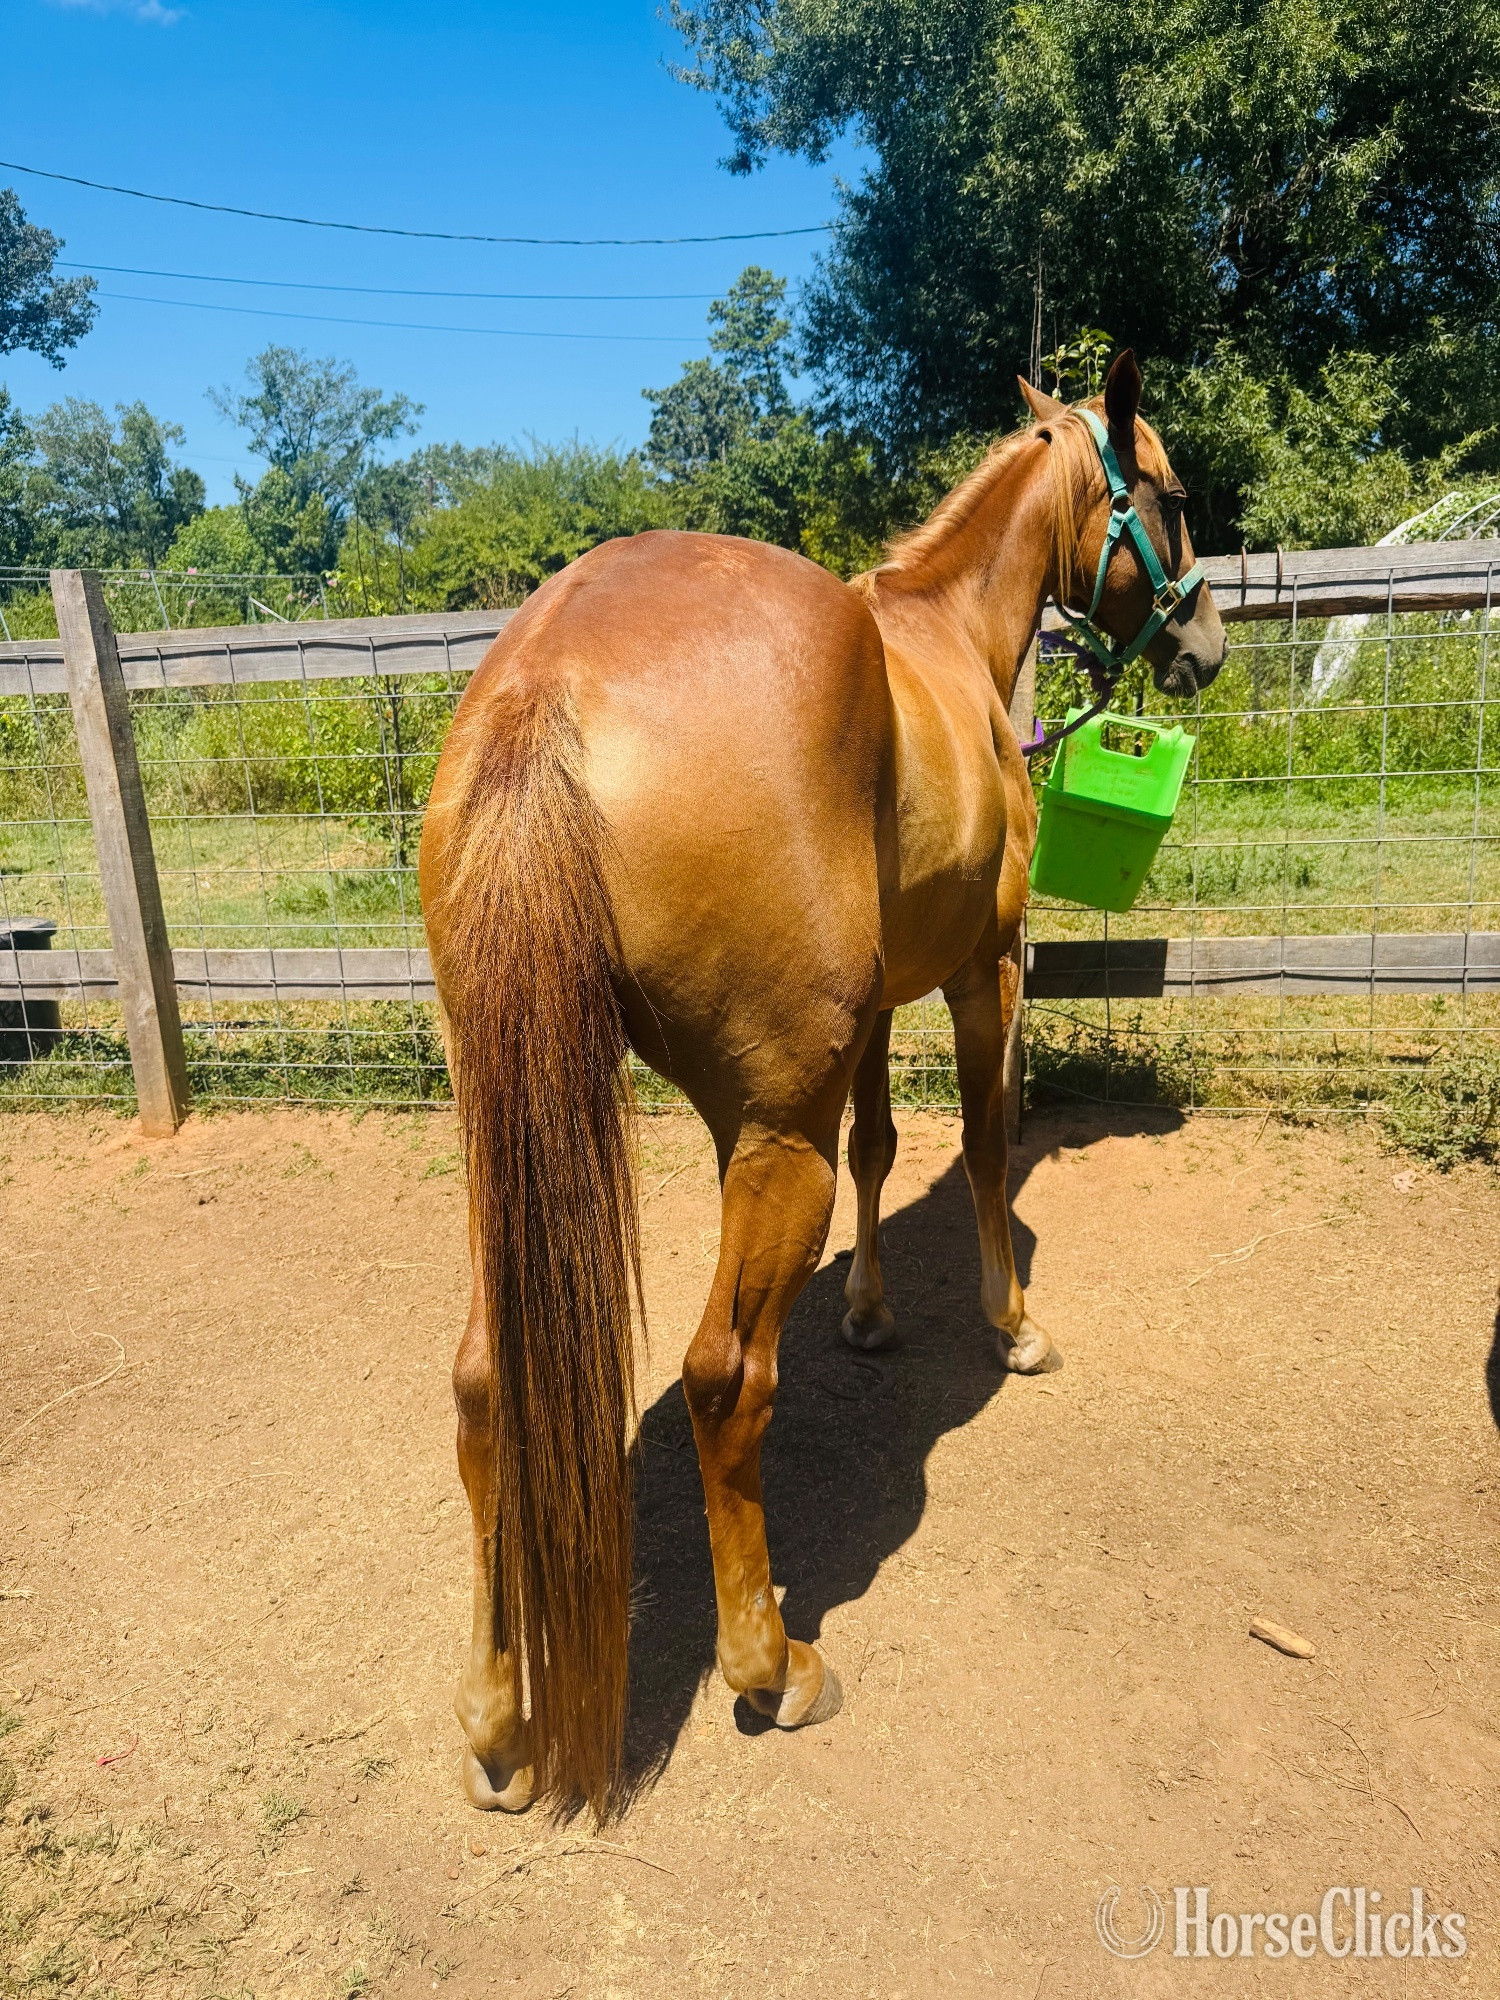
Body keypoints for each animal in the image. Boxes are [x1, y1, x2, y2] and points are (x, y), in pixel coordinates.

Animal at [418, 351, 1226, 1819]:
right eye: (1171, 494)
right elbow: (982, 1139)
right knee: (722, 1376)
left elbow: (882, 1143)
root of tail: (548, 676)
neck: (945, 641)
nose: (1206, 642)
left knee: (487, 1382)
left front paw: (869, 1311)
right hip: (764, 1136)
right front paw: (1011, 1320)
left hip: (519, 1145)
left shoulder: (871, 1015)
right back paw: (770, 1663)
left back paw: (498, 1722)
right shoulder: (983, 967)